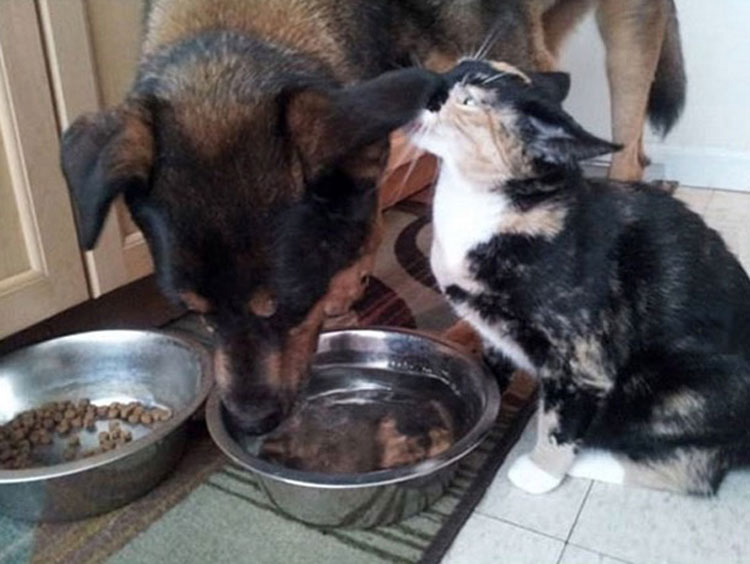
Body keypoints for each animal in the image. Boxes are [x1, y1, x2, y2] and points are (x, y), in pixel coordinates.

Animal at [60, 0, 680, 432]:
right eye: (192, 312)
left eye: (287, 306)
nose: (250, 424)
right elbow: (367, 203)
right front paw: (349, 281)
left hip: (622, 35)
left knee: (628, 151)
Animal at [408, 59, 750, 496]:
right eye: (454, 69)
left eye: (468, 101)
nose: (429, 87)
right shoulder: (492, 333)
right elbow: (488, 371)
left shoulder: (582, 359)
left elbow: (559, 421)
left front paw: (541, 471)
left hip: (678, 391)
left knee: (698, 471)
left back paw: (590, 460)